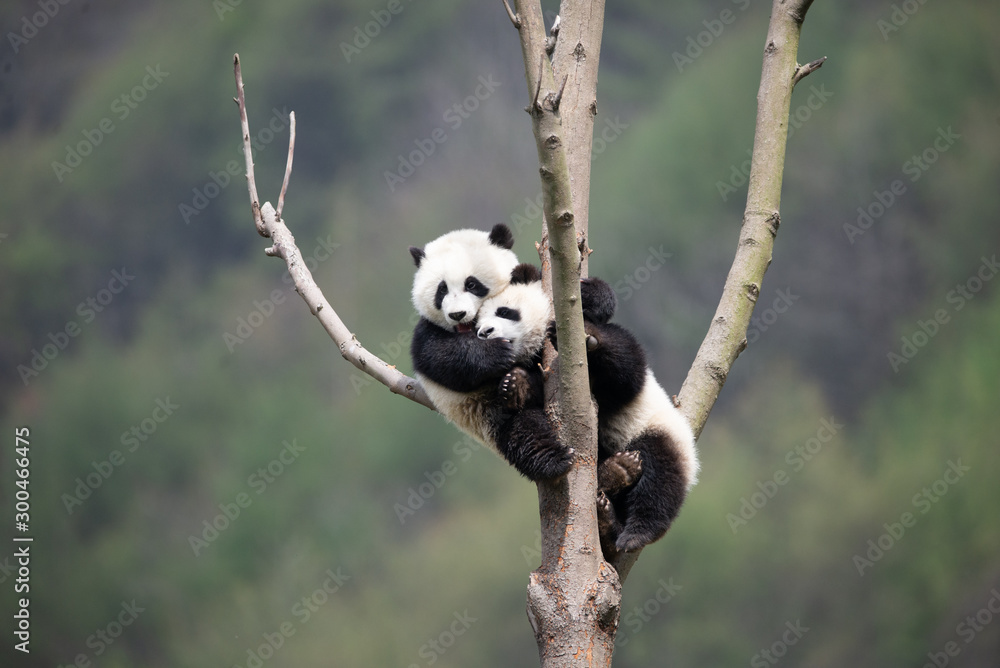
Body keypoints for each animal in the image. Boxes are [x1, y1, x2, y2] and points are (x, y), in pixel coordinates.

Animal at [409, 226, 572, 480]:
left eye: (471, 284)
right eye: (441, 289)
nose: (457, 314)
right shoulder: (426, 331)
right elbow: (438, 357)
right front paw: (495, 353)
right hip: (490, 412)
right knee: (522, 431)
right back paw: (554, 458)